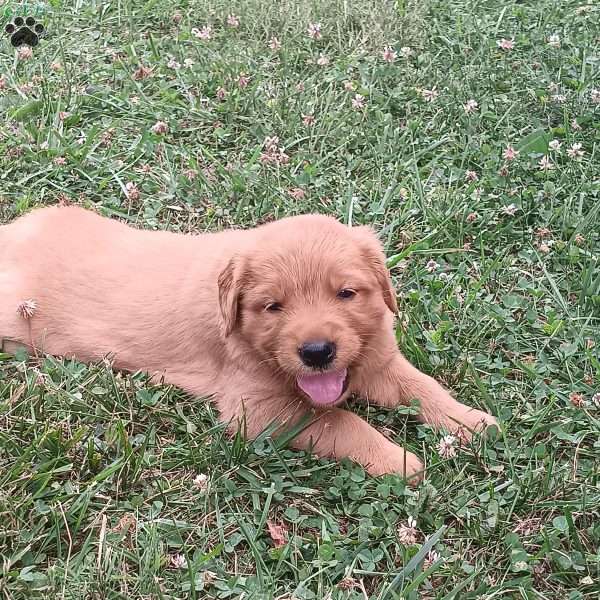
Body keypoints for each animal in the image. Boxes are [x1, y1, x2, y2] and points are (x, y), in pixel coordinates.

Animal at [1, 206, 496, 478]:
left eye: (346, 293)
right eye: (272, 306)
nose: (317, 353)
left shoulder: (379, 358)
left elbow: (424, 387)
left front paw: (471, 422)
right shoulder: (257, 411)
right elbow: (341, 420)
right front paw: (399, 460)